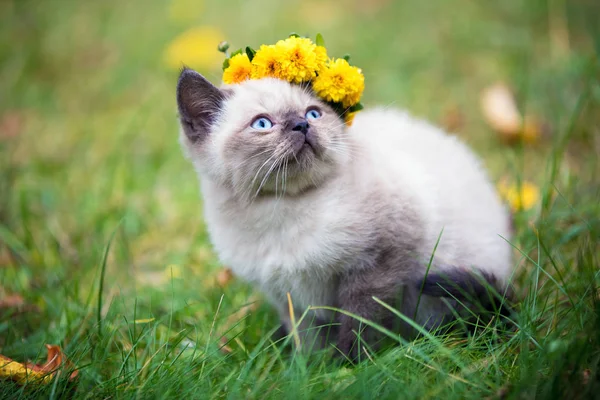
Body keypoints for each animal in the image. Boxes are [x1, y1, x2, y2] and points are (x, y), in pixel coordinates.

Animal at [176, 68, 512, 360]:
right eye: (262, 124)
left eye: (313, 113)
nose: (302, 126)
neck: (282, 209)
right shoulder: (290, 297)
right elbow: (309, 340)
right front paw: (310, 370)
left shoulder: (377, 264)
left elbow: (361, 325)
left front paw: (347, 368)